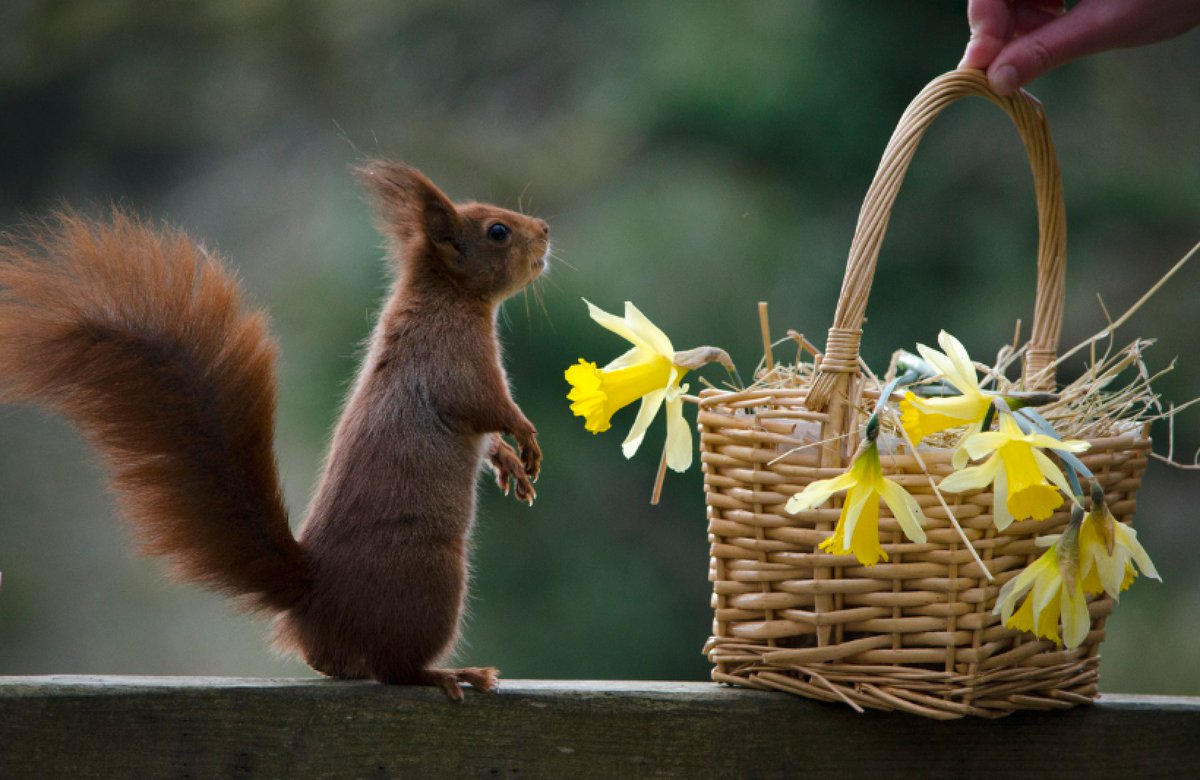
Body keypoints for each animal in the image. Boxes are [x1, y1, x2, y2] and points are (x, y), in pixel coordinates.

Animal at [0, 162, 548, 700]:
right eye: (497, 232)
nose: (544, 230)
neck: (448, 297)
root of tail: (316, 594)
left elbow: (487, 435)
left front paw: (509, 463)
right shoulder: (451, 357)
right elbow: (484, 405)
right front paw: (524, 435)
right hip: (431, 582)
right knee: (395, 668)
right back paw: (448, 674)